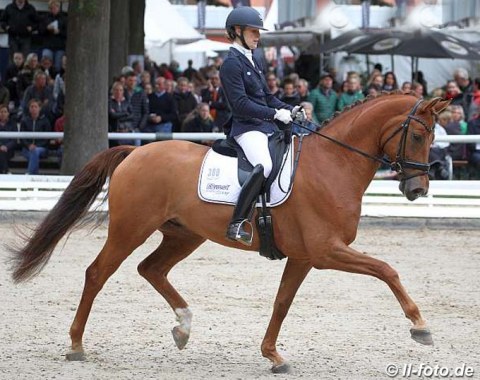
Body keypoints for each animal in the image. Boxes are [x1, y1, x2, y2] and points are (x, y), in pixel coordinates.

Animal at [9, 93, 448, 372]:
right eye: (418, 135)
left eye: (432, 137)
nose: (418, 190)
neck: (333, 164)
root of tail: (135, 151)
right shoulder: (325, 251)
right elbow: (387, 269)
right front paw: (420, 327)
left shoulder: (305, 257)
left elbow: (282, 303)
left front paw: (273, 356)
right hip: (130, 229)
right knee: (98, 273)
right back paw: (76, 345)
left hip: (184, 235)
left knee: (151, 270)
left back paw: (183, 328)